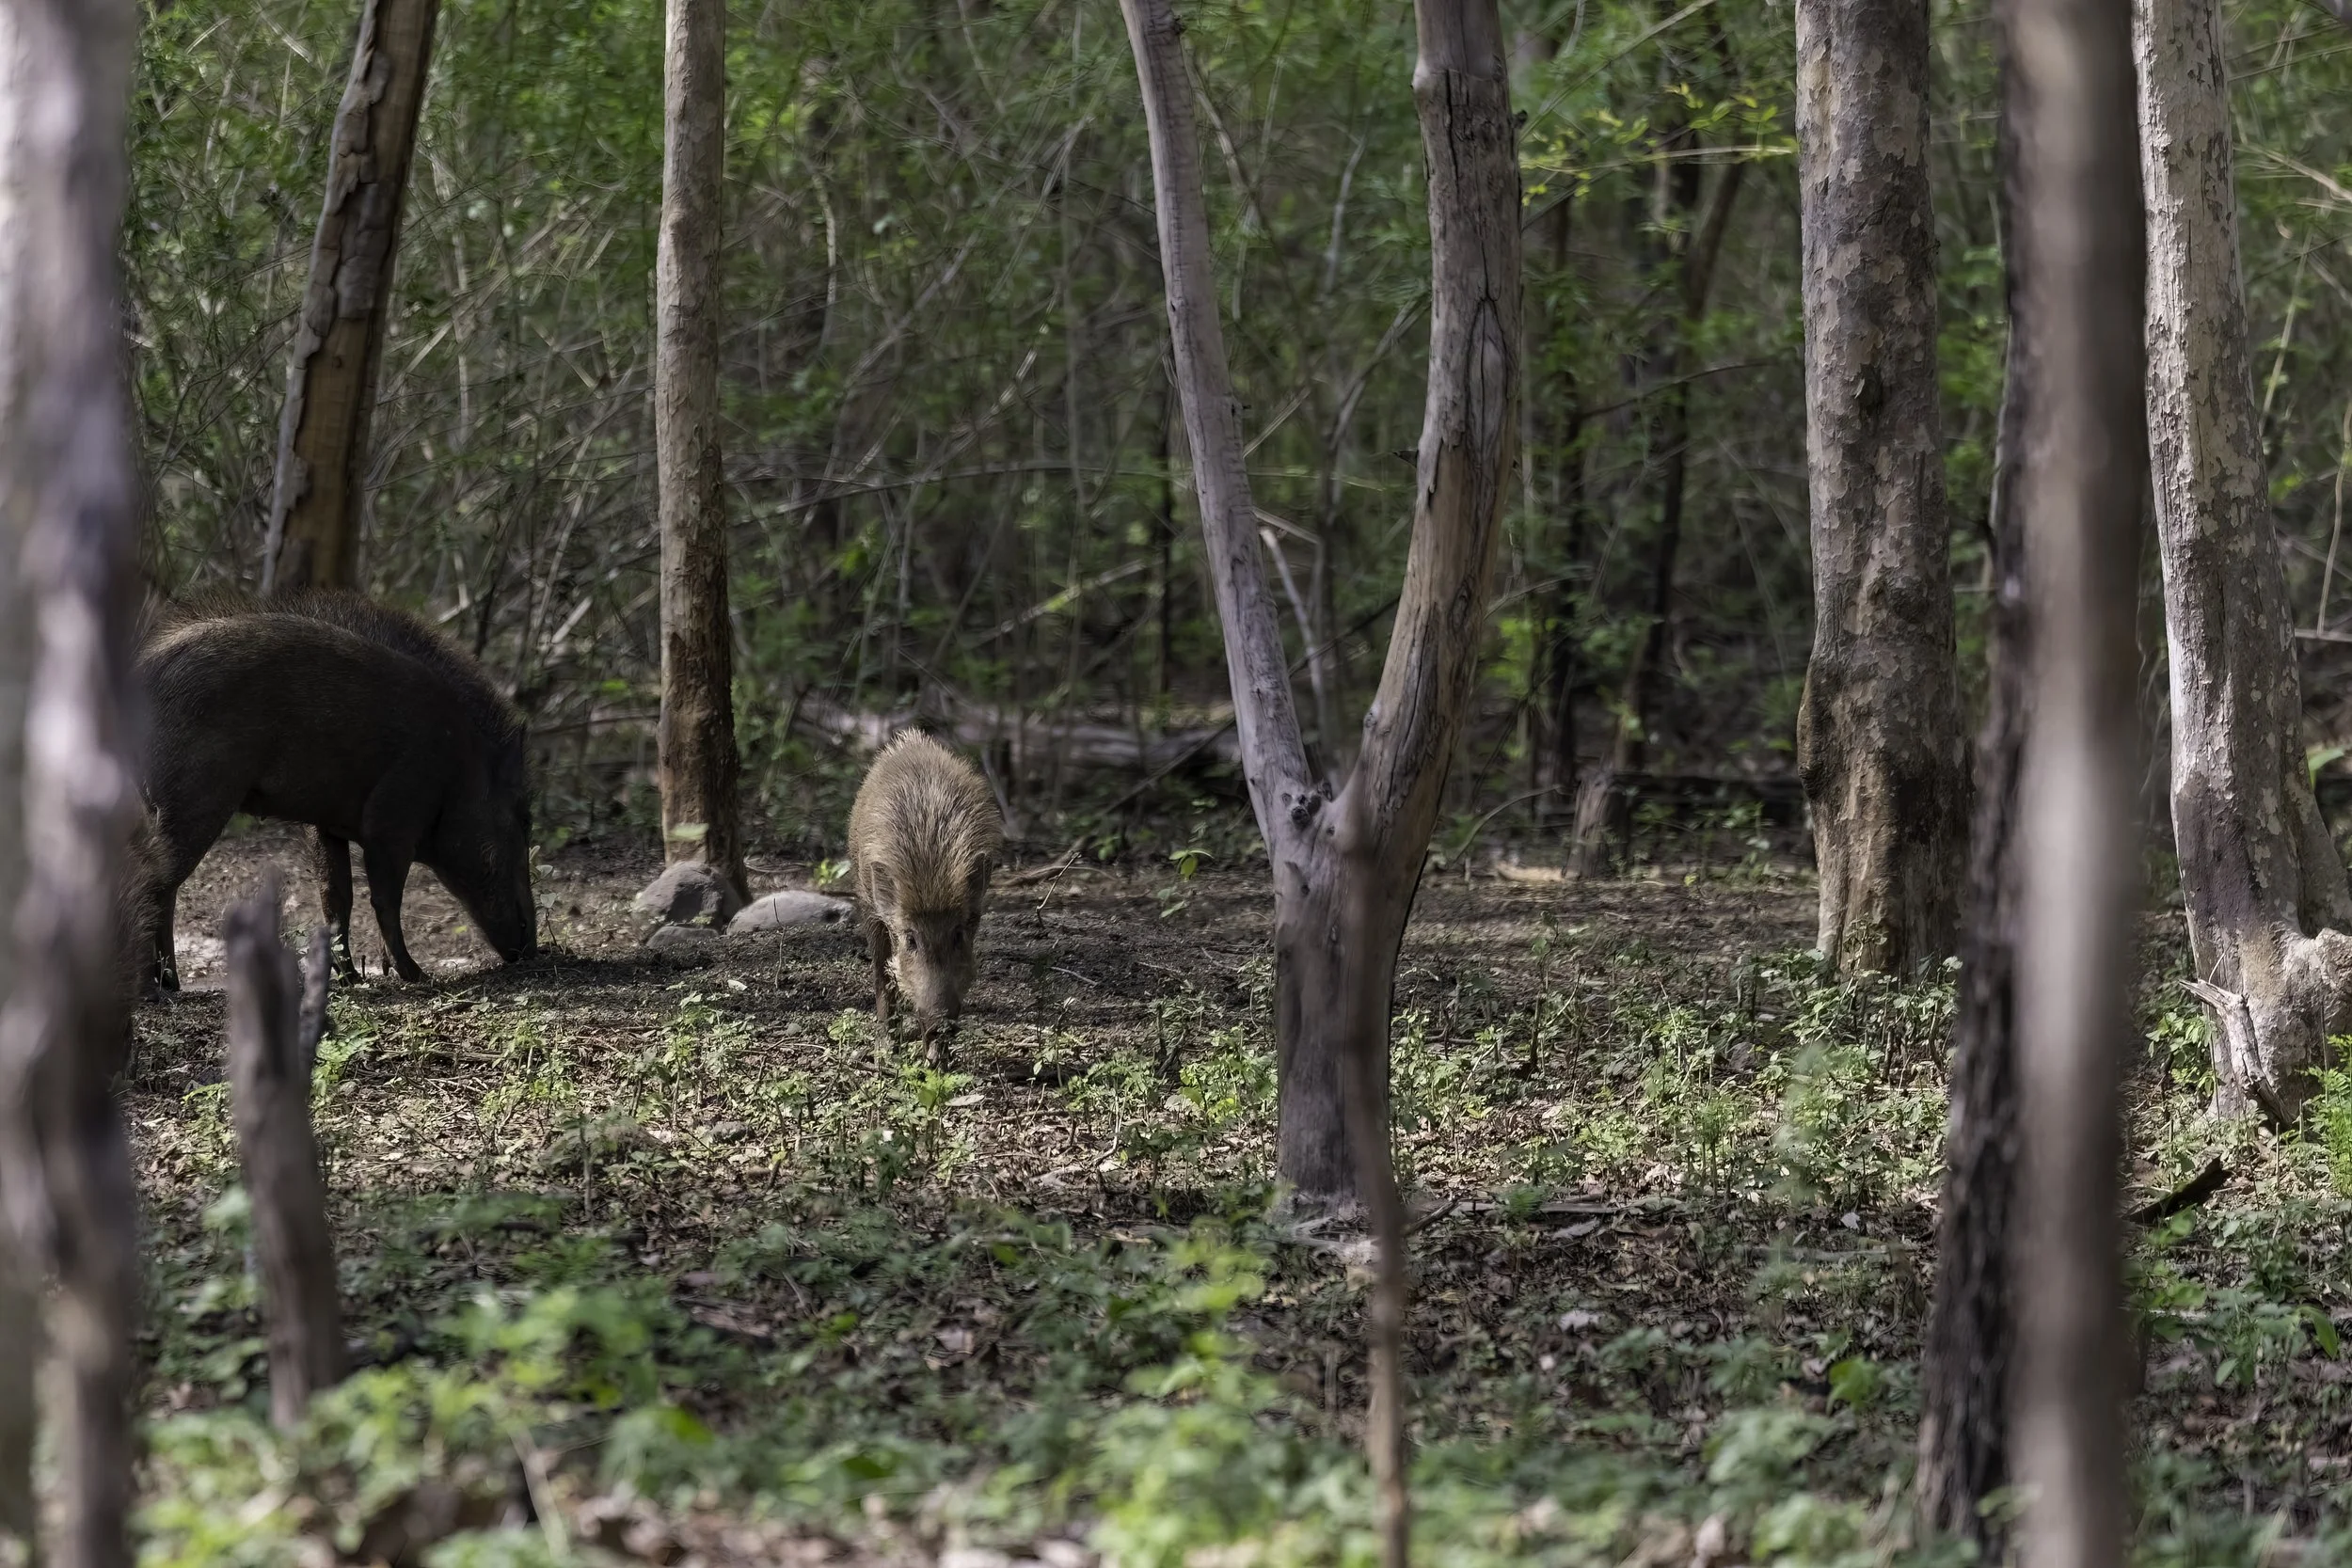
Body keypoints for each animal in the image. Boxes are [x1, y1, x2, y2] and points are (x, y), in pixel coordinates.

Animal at [137, 591, 537, 987]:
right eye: (524, 817)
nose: (533, 951)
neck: (460, 767)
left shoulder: (325, 826)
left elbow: (336, 896)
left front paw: (352, 979)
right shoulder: (390, 823)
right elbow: (385, 899)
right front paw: (416, 976)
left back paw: (166, 983)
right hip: (195, 803)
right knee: (159, 884)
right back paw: (160, 986)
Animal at [847, 730, 1003, 1053]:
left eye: (958, 935)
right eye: (911, 940)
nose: (939, 1024)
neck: (929, 876)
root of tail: (912, 738)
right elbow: (886, 976)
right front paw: (888, 1051)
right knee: (881, 972)